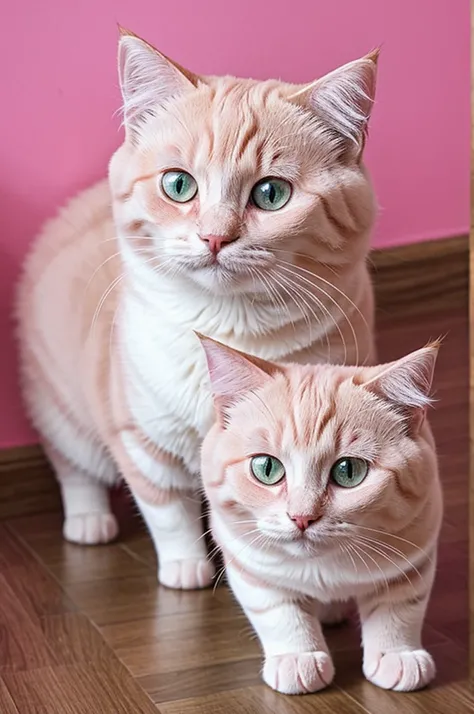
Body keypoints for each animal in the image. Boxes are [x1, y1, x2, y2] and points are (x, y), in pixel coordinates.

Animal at [17, 27, 378, 588]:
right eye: (178, 184)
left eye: (270, 193)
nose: (214, 237)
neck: (227, 328)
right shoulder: (142, 436)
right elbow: (168, 510)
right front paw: (186, 568)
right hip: (58, 405)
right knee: (73, 466)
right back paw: (89, 522)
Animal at [199, 336, 440, 692]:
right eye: (266, 468)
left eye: (348, 471)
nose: (302, 517)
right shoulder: (249, 559)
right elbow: (278, 611)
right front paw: (298, 658)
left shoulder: (414, 552)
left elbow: (398, 608)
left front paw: (398, 655)